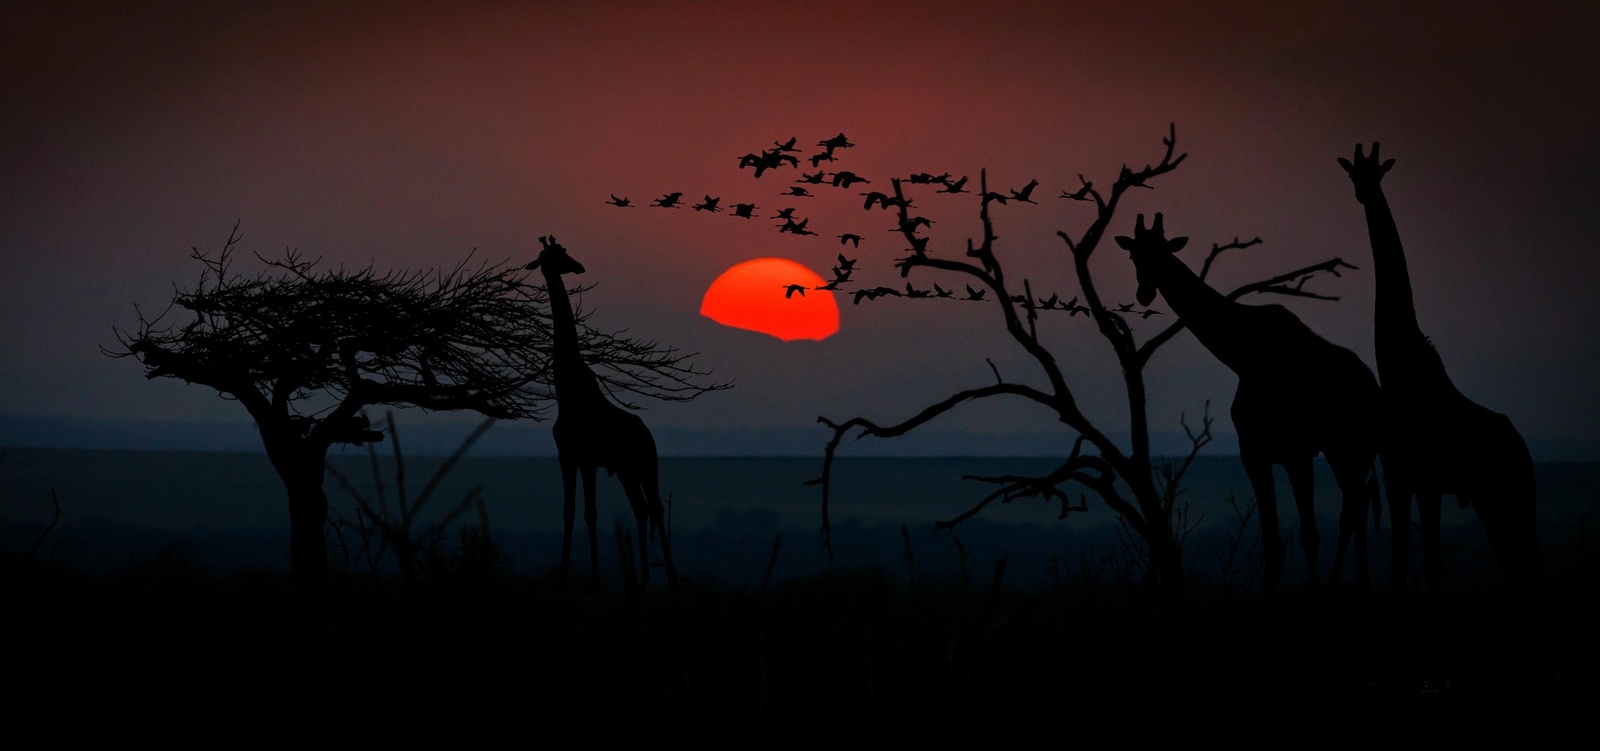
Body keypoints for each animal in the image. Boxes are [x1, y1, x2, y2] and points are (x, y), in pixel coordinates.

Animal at [526, 235, 677, 591]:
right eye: (556, 256)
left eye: (564, 252)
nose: (579, 266)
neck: (569, 391)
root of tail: (648, 433)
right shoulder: (569, 457)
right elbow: (570, 512)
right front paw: (563, 576)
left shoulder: (586, 459)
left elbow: (590, 513)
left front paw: (593, 579)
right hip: (625, 469)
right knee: (640, 508)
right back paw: (643, 578)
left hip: (645, 464)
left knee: (656, 506)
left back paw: (670, 580)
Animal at [1117, 213, 1382, 604]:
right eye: (1134, 255)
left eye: (1165, 253)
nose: (1145, 293)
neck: (1245, 355)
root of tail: (1374, 389)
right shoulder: (1254, 452)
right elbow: (1272, 542)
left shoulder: (1296, 452)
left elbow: (1309, 535)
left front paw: (1317, 599)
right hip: (1342, 452)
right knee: (1357, 503)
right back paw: (1360, 587)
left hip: (1354, 448)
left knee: (1352, 509)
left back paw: (1351, 588)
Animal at [1338, 143, 1543, 601]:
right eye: (1353, 174)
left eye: (1378, 173)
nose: (1362, 193)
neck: (1401, 370)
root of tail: (1524, 449)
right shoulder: (1397, 477)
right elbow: (1398, 567)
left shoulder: (1428, 480)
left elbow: (1432, 568)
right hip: (1489, 500)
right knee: (1513, 569)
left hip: (1511, 496)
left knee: (1526, 566)